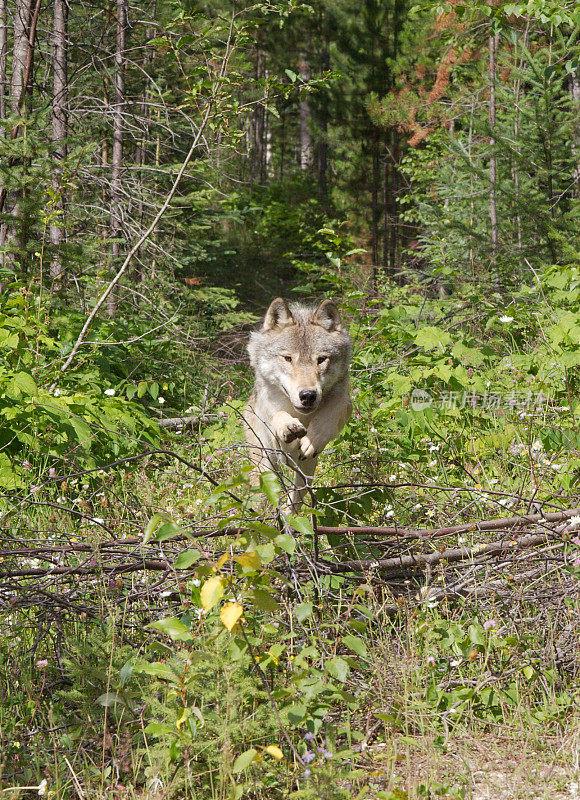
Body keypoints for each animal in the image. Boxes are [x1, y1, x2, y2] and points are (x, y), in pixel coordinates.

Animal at [242, 296, 352, 510]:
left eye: (321, 359)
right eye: (287, 358)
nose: (308, 395)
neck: (302, 415)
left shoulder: (344, 400)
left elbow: (331, 413)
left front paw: (313, 438)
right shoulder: (275, 432)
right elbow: (277, 415)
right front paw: (288, 426)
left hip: (307, 469)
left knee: (297, 497)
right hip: (263, 464)